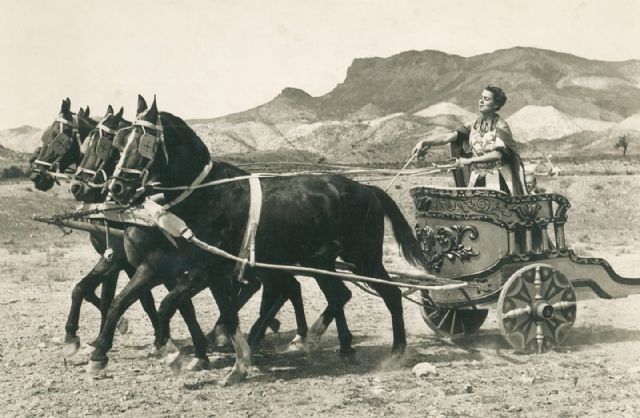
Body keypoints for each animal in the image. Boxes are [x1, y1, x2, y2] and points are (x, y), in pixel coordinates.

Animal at [90, 96, 428, 384]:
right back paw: (323, 342)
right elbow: (220, 314)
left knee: (390, 294)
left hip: (363, 258)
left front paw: (174, 352)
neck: (206, 195)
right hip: (320, 260)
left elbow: (168, 304)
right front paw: (236, 364)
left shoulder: (199, 269)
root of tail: (367, 189)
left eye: (142, 142)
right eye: (121, 141)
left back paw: (395, 352)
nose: (116, 188)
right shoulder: (200, 270)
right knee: (338, 295)